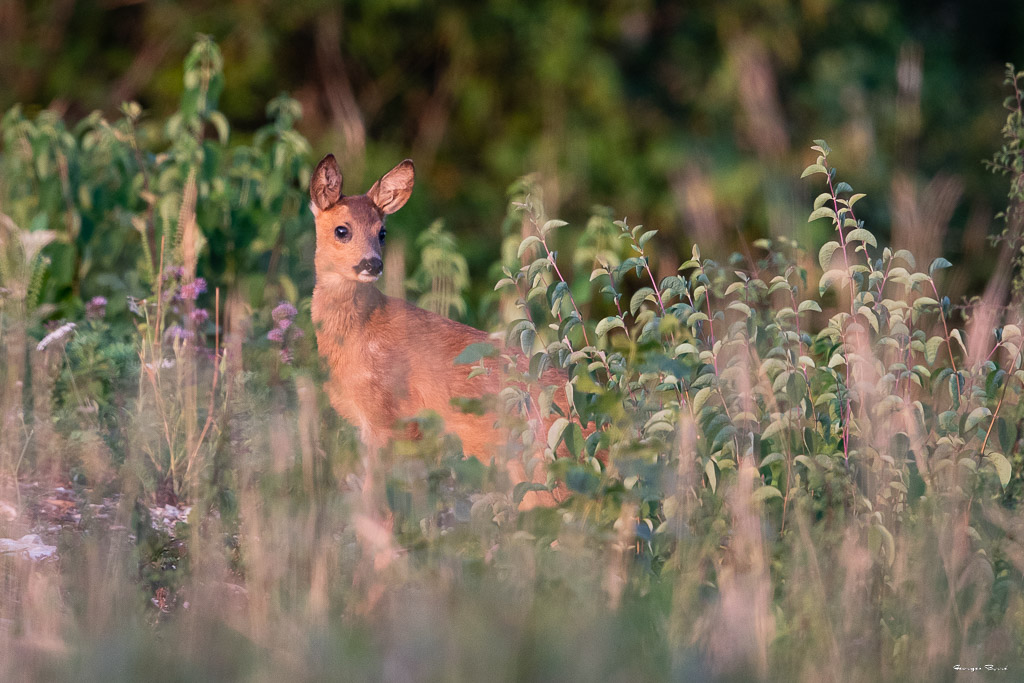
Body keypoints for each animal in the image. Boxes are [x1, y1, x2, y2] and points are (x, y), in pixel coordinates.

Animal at [309, 154, 571, 508]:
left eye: (382, 232)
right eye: (341, 230)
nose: (372, 264)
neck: (358, 334)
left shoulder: (386, 414)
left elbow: (375, 499)